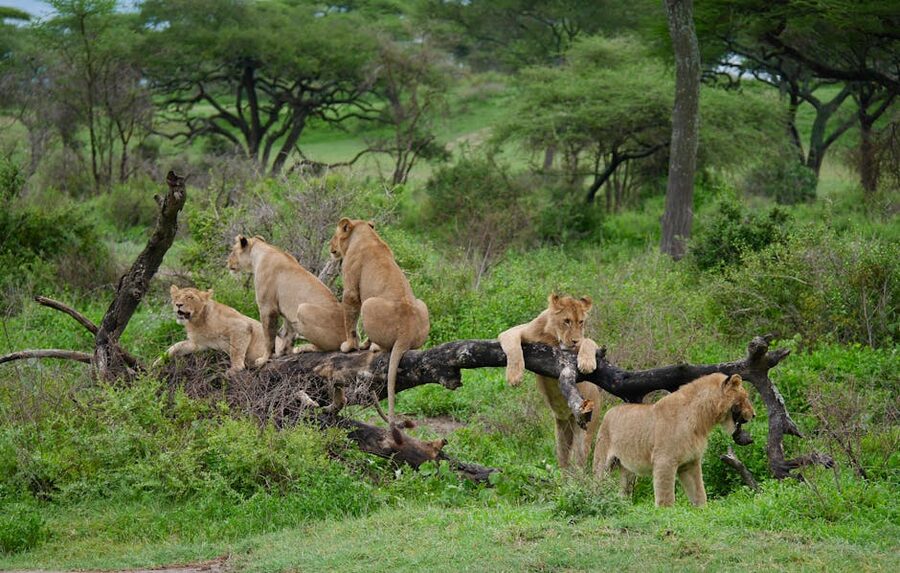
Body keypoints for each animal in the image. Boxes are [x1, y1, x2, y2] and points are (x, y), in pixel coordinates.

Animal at [227, 235, 345, 365]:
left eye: (233, 251)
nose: (227, 262)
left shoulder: (267, 307)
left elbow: (268, 336)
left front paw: (264, 359)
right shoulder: (286, 310)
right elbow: (288, 333)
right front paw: (283, 353)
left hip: (303, 309)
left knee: (327, 347)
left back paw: (303, 348)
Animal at [329, 218, 429, 423]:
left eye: (335, 235)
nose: (330, 247)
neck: (365, 234)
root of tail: (406, 333)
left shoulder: (350, 290)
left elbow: (350, 321)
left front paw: (349, 346)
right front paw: (360, 344)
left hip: (368, 304)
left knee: (383, 347)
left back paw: (374, 347)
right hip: (422, 305)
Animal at [498, 293, 603, 469]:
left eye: (581, 322)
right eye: (566, 321)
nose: (575, 340)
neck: (553, 338)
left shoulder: (585, 344)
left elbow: (588, 341)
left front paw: (587, 363)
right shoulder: (514, 331)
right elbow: (513, 347)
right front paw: (514, 376)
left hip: (585, 430)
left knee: (579, 464)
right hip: (561, 434)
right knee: (564, 463)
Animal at [593, 372, 755, 507]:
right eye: (745, 397)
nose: (754, 415)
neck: (701, 419)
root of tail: (609, 411)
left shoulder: (690, 462)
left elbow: (699, 492)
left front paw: (702, 511)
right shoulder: (664, 460)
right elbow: (666, 497)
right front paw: (665, 514)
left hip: (627, 469)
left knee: (624, 491)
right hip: (603, 461)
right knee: (596, 482)